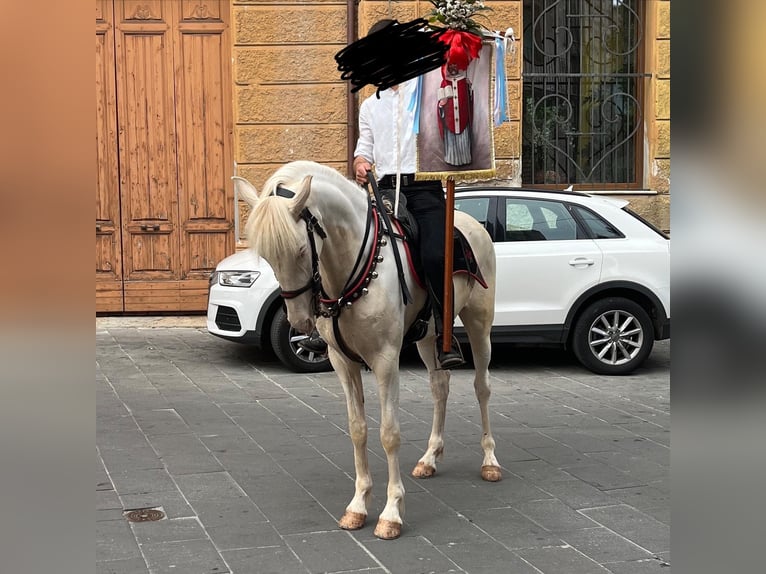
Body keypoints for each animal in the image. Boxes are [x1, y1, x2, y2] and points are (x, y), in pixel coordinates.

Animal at [234, 161, 504, 540]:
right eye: (268, 256)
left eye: (300, 249)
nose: (299, 321)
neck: (349, 268)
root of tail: (472, 224)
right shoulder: (341, 362)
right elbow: (358, 428)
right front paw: (358, 506)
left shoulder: (385, 360)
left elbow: (389, 434)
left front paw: (391, 513)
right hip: (428, 338)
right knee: (440, 387)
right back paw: (430, 458)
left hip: (480, 323)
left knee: (482, 387)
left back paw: (490, 461)